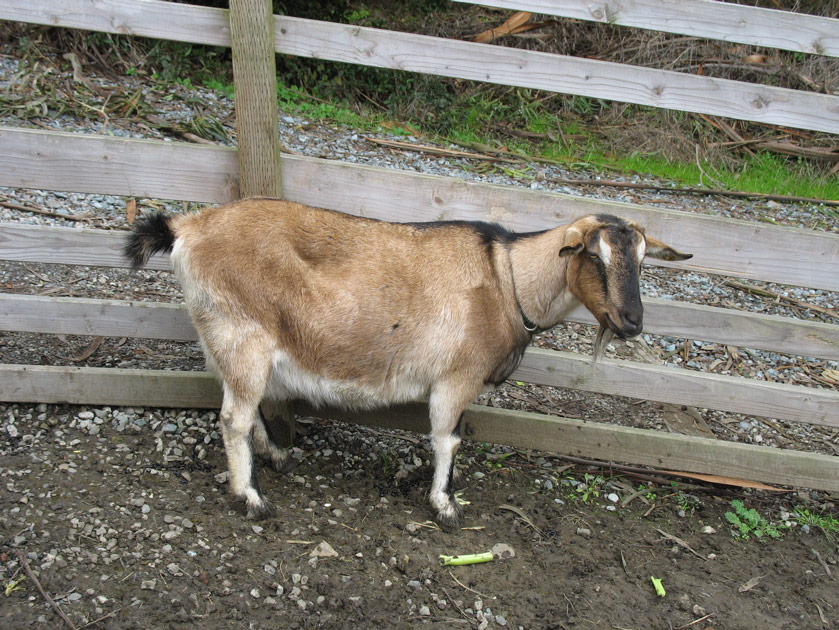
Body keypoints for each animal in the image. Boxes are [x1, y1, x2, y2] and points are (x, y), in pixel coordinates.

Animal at [123, 200, 688, 532]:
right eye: (594, 255)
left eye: (642, 259)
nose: (632, 321)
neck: (506, 279)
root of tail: (186, 227)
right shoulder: (457, 377)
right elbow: (448, 439)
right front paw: (445, 506)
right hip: (243, 334)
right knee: (233, 418)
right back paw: (252, 498)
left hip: (224, 338)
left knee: (243, 407)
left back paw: (277, 455)